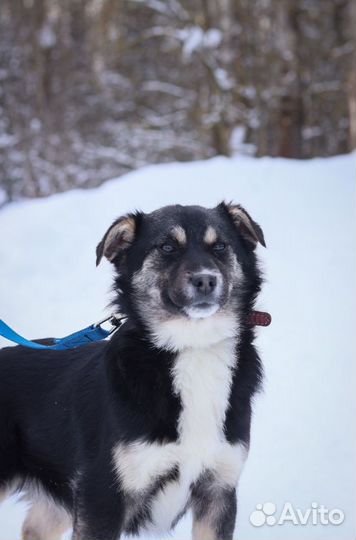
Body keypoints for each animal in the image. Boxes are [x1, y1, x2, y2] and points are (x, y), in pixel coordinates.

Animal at [0, 202, 266, 540]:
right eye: (167, 247)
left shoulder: (219, 491)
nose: (206, 280)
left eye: (220, 246)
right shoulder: (102, 497)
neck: (192, 348)